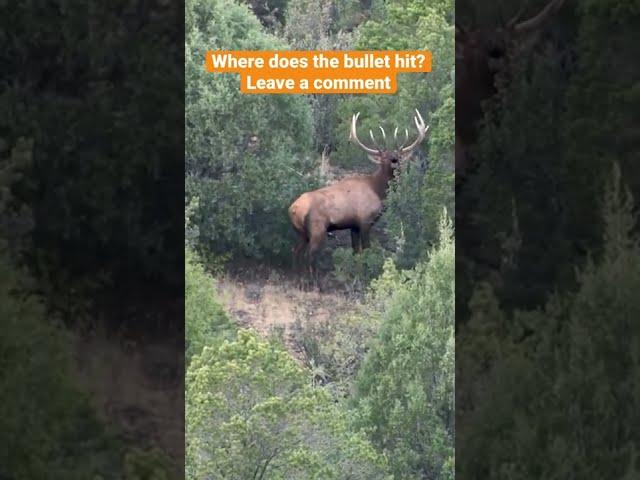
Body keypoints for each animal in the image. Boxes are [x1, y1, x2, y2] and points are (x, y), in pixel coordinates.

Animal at [290, 109, 430, 274]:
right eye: (384, 158)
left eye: (398, 156)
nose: (395, 162)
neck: (378, 191)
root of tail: (294, 209)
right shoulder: (365, 221)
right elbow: (366, 250)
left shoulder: (354, 226)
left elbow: (356, 252)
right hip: (317, 229)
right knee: (309, 255)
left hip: (301, 232)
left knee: (295, 251)